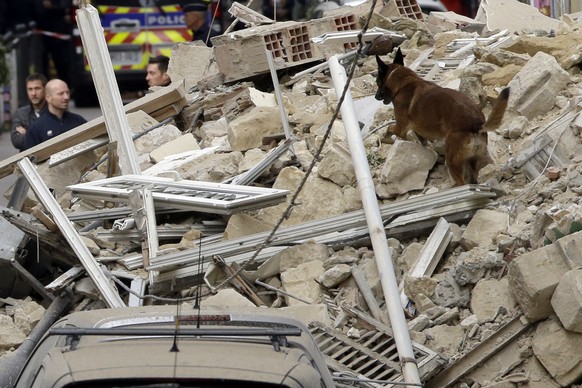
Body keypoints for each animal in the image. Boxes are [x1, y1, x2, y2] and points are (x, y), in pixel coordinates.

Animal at [376, 47, 508, 187]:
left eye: (377, 82)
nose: (375, 96)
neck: (404, 83)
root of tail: (476, 124)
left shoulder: (401, 128)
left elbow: (390, 127)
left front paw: (385, 139)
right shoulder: (418, 130)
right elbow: (422, 141)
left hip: (452, 160)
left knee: (461, 181)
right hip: (472, 162)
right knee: (473, 180)